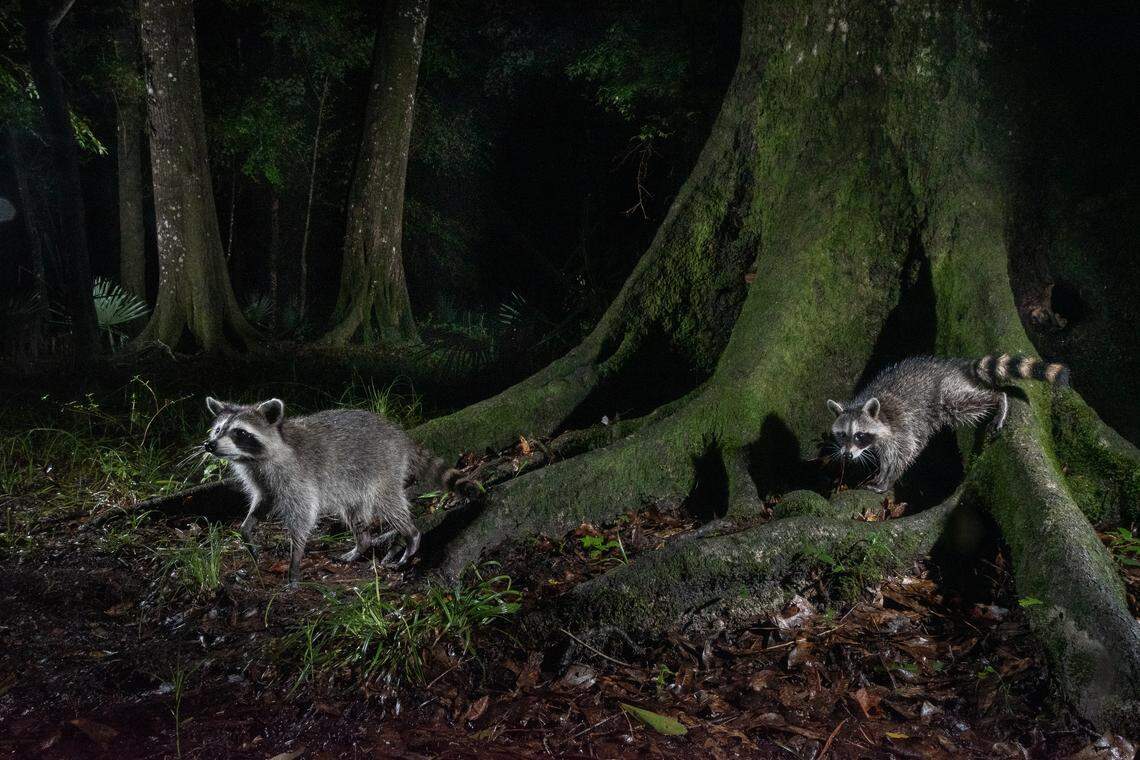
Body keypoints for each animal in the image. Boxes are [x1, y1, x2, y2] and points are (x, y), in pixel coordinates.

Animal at [202, 397, 477, 586]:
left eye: (240, 432)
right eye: (217, 430)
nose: (209, 445)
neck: (255, 459)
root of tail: (400, 435)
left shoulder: (296, 477)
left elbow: (304, 516)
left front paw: (295, 558)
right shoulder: (263, 480)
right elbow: (263, 502)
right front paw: (247, 529)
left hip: (383, 467)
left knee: (389, 503)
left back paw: (410, 534)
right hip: (353, 484)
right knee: (354, 513)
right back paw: (362, 543)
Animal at [826, 354, 1069, 493]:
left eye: (859, 435)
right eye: (842, 435)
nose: (847, 455)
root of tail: (955, 366)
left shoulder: (901, 425)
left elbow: (905, 451)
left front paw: (888, 478)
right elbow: (886, 454)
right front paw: (880, 473)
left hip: (947, 392)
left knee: (967, 402)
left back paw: (999, 398)